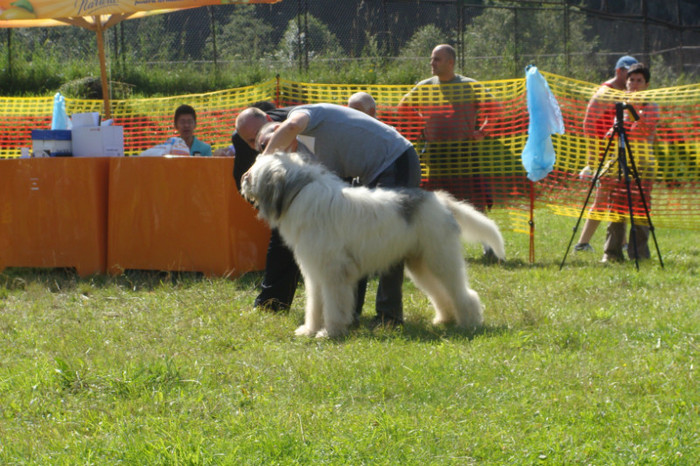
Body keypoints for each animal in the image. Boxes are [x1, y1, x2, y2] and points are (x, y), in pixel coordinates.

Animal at [241, 153, 504, 338]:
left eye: (254, 171)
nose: (243, 179)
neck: (299, 193)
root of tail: (439, 199)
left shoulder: (334, 273)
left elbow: (334, 305)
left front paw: (330, 332)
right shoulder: (315, 273)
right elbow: (314, 305)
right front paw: (309, 330)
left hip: (441, 259)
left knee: (463, 292)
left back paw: (469, 323)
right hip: (421, 264)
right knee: (440, 293)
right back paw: (445, 319)